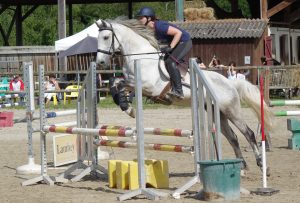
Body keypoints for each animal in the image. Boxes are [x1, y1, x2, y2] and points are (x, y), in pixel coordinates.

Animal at [95, 18, 272, 171]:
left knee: (248, 133)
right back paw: (241, 165)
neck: (140, 57)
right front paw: (125, 105)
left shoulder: (147, 87)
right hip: (218, 112)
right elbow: (115, 82)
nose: (100, 63)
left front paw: (128, 108)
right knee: (233, 137)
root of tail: (230, 83)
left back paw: (262, 164)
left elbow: (120, 83)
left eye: (106, 37)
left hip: (231, 110)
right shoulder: (133, 83)